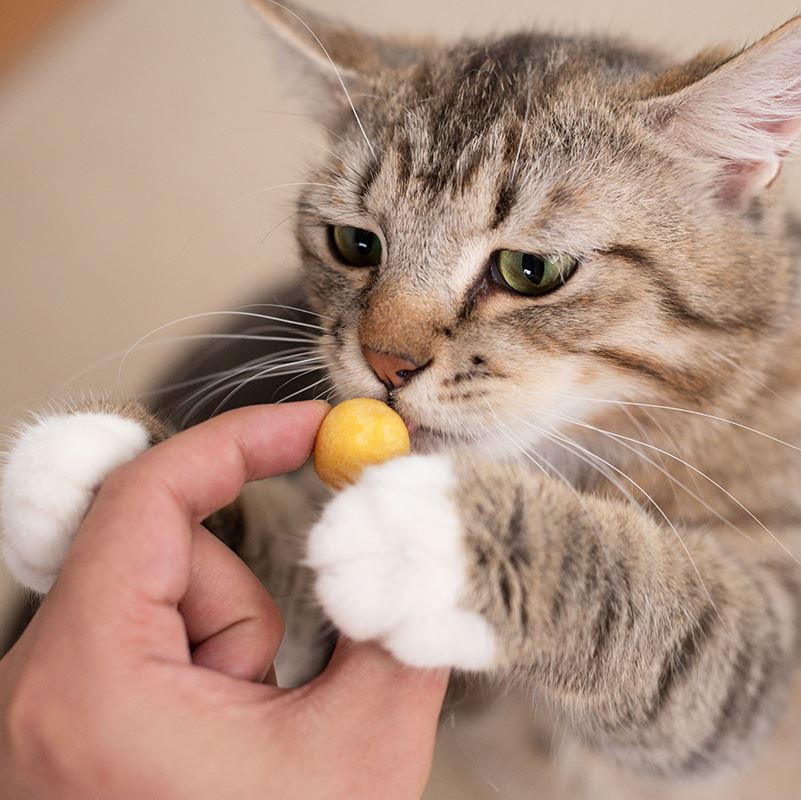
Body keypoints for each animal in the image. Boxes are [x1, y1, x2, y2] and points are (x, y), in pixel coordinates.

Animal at [1, 3, 800, 796]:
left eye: (531, 269)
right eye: (355, 245)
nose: (386, 363)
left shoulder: (766, 654)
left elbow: (677, 616)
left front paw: (436, 536)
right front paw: (113, 476)